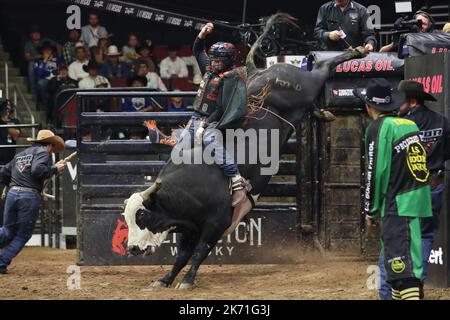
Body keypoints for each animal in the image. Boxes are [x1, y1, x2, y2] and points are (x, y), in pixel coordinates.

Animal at [124, 13, 366, 288]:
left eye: (141, 216)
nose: (132, 249)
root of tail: (261, 70)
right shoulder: (190, 226)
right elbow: (182, 254)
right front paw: (165, 279)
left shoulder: (217, 222)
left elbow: (199, 252)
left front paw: (187, 280)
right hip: (304, 99)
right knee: (313, 101)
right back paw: (324, 112)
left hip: (307, 84)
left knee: (323, 69)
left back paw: (357, 51)